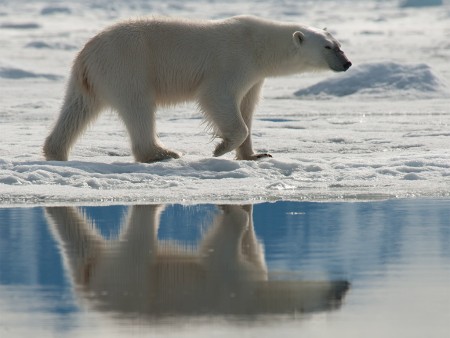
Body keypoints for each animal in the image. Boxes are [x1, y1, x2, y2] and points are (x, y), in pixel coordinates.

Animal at [43, 15, 352, 162]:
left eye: (338, 43)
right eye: (328, 47)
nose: (347, 63)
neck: (259, 45)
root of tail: (87, 53)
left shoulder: (255, 77)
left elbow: (247, 107)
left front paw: (256, 155)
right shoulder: (233, 61)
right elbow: (217, 97)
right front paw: (220, 148)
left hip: (90, 78)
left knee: (77, 109)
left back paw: (55, 151)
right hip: (128, 65)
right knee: (139, 106)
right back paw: (162, 153)